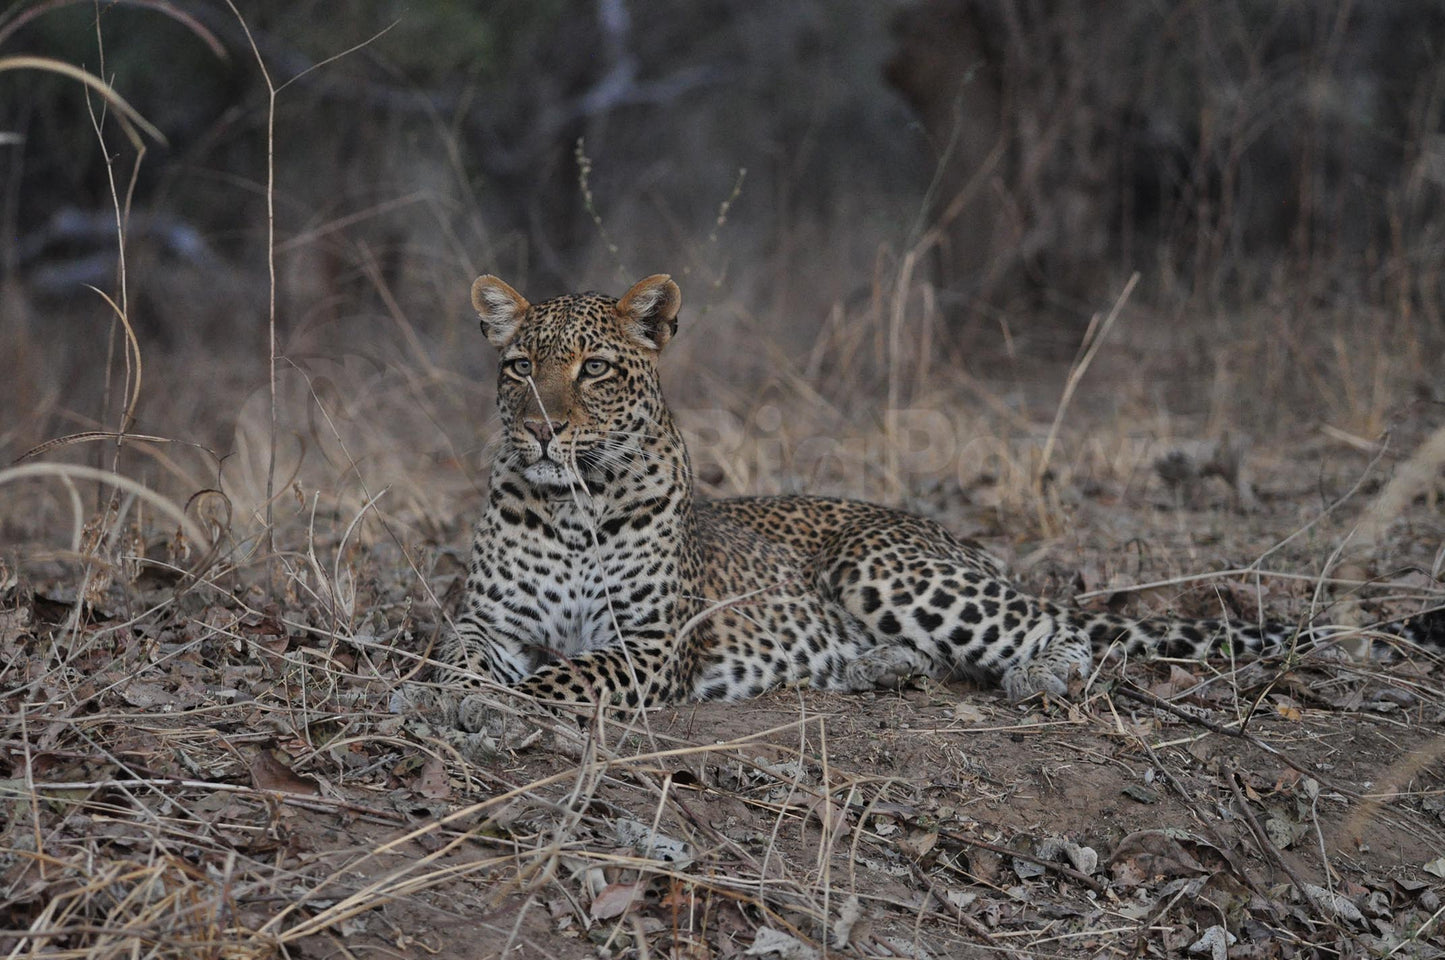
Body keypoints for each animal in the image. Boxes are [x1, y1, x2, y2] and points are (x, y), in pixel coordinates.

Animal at [430, 267, 1445, 720]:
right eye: (518, 368)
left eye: (594, 369)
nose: (540, 429)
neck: (573, 506)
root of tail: (956, 539)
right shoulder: (489, 622)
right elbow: (455, 659)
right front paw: (444, 700)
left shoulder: (648, 644)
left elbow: (568, 675)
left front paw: (501, 709)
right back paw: (873, 668)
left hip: (884, 567)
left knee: (1061, 631)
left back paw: (1038, 674)